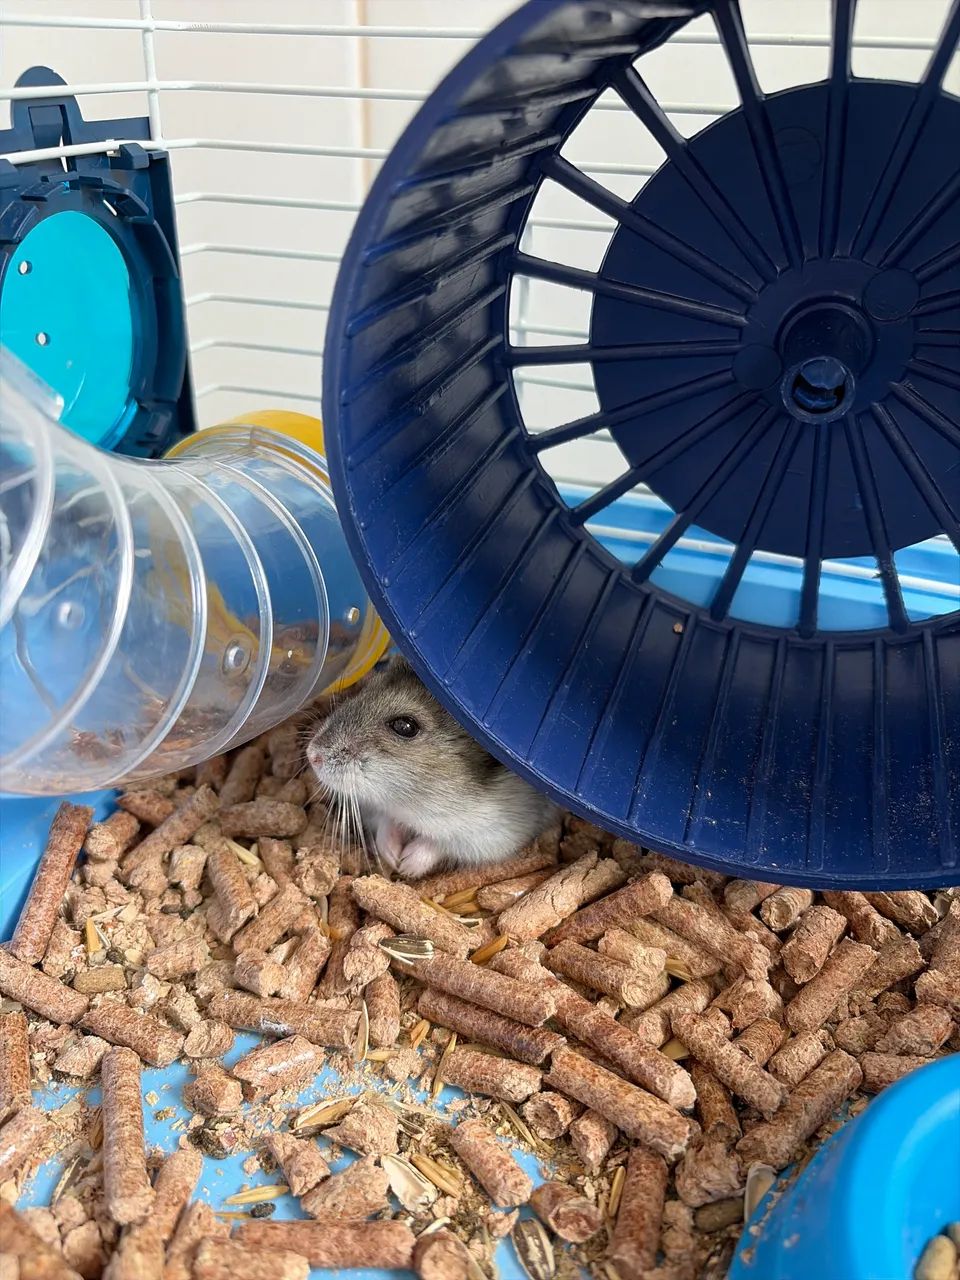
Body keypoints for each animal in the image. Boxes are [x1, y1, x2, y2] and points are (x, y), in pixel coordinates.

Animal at [305, 656, 558, 880]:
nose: (312, 755)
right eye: (365, 689)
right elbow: (386, 820)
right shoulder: (374, 808)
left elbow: (439, 843)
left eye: (405, 726)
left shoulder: (494, 833)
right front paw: (391, 856)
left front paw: (406, 865)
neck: (416, 802)